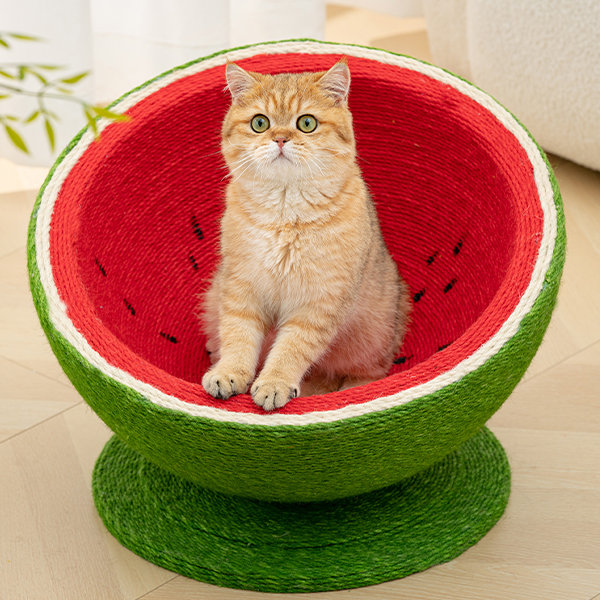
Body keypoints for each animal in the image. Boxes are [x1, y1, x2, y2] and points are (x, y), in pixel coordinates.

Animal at [203, 58, 412, 410]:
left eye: (307, 123)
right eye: (260, 123)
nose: (280, 139)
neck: (284, 214)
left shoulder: (318, 303)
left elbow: (292, 349)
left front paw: (274, 383)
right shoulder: (241, 288)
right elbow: (238, 336)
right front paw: (229, 373)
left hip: (374, 340)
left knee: (365, 375)